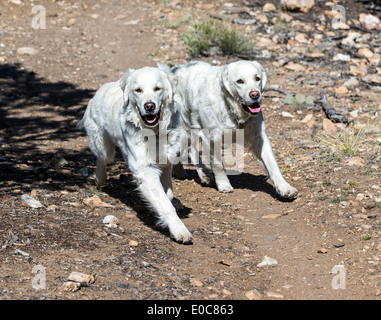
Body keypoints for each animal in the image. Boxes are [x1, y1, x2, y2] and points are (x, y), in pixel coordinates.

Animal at [76, 67, 193, 242]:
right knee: (101, 160)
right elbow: (166, 205)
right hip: (105, 148)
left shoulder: (166, 162)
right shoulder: (146, 171)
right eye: (138, 90)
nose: (149, 106)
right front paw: (179, 230)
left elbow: (169, 195)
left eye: (157, 88)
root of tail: (102, 88)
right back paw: (99, 178)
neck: (155, 132)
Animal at [171, 60, 296, 199]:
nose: (255, 95)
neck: (231, 108)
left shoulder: (259, 137)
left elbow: (273, 165)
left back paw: (198, 175)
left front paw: (284, 187)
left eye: (257, 78)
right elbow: (218, 165)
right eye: (239, 81)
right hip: (184, 129)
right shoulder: (212, 138)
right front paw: (224, 185)